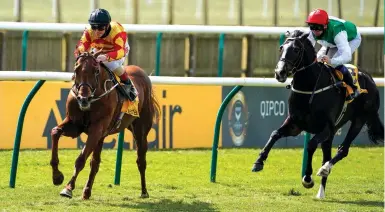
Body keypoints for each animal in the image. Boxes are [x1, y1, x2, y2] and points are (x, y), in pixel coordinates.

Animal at [50, 52, 160, 200]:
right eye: (76, 69)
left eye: (96, 71)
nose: (83, 99)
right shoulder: (75, 125)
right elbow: (55, 131)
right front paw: (57, 176)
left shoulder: (96, 129)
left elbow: (81, 159)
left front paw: (68, 188)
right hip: (104, 135)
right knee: (95, 162)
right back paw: (86, 192)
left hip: (140, 130)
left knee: (141, 160)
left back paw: (144, 191)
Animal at [252, 30, 380, 199]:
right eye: (281, 47)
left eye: (296, 49)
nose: (280, 73)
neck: (310, 87)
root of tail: (370, 79)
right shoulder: (295, 124)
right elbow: (274, 134)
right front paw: (258, 162)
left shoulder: (326, 128)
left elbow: (311, 144)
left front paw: (307, 177)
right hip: (333, 132)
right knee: (327, 154)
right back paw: (321, 192)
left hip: (359, 120)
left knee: (342, 150)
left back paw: (325, 169)